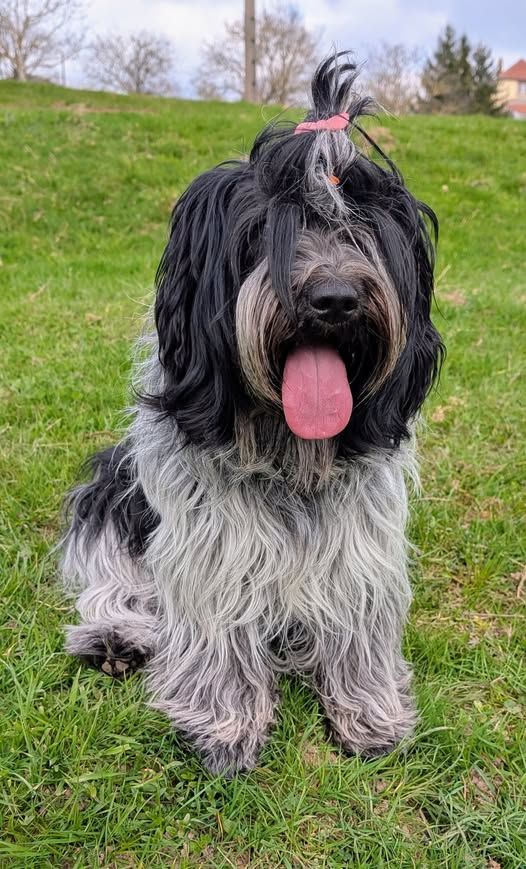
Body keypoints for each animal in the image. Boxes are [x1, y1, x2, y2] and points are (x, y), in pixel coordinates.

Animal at [61, 54, 444, 776]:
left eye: (365, 234)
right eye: (264, 232)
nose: (335, 298)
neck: (288, 448)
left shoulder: (359, 542)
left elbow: (359, 617)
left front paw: (368, 708)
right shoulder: (206, 537)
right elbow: (212, 621)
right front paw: (225, 722)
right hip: (114, 482)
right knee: (113, 576)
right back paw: (116, 633)